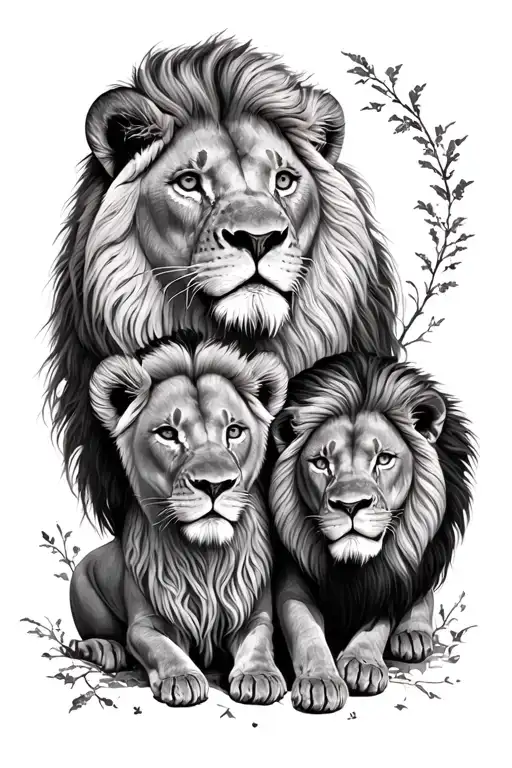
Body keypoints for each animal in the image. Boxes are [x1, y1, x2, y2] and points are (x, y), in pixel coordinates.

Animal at [69, 333, 288, 707]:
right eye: (168, 434)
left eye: (234, 431)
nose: (214, 485)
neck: (205, 556)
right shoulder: (145, 622)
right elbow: (161, 646)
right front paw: (181, 677)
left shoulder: (254, 612)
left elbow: (259, 638)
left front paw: (259, 674)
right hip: (80, 583)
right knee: (93, 635)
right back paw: (105, 648)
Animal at [269, 353, 476, 713]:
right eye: (320, 462)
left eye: (384, 459)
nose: (351, 505)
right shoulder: (290, 568)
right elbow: (303, 623)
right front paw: (321, 680)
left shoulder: (392, 573)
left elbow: (379, 619)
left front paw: (362, 662)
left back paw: (413, 634)